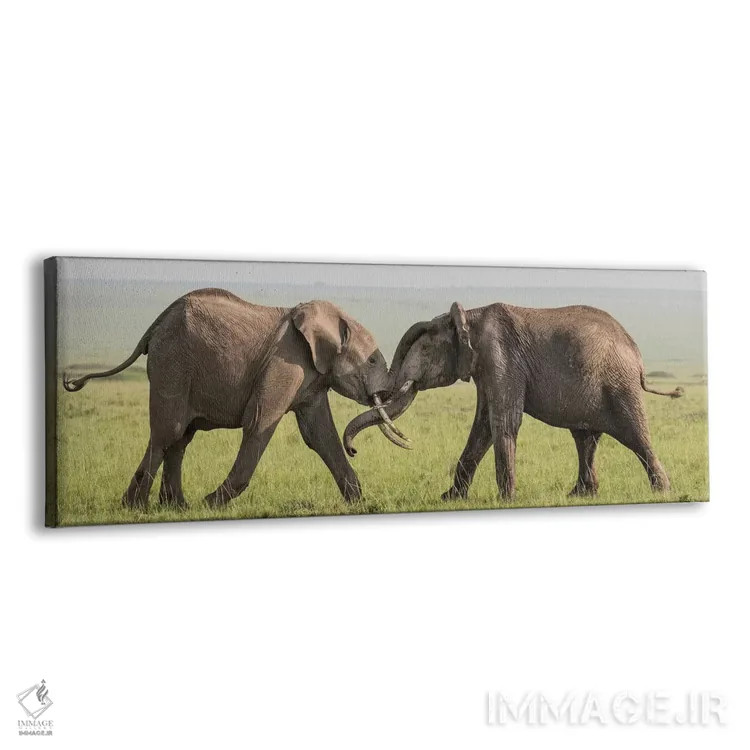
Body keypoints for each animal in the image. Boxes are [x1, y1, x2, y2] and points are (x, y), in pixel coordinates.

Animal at [63, 288, 410, 509]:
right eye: (373, 361)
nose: (355, 450)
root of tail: (155, 324)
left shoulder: (312, 374)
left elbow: (320, 434)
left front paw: (359, 502)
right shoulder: (286, 360)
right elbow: (259, 422)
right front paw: (209, 505)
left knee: (179, 436)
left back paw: (171, 507)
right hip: (172, 362)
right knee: (169, 431)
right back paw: (140, 508)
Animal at [343, 302, 684, 500]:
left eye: (425, 351)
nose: (354, 451)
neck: (470, 316)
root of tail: (637, 355)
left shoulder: (500, 357)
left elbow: (503, 422)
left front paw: (505, 500)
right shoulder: (485, 366)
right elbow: (482, 426)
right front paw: (449, 498)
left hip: (618, 385)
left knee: (635, 435)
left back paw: (661, 492)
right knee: (585, 438)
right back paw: (580, 495)